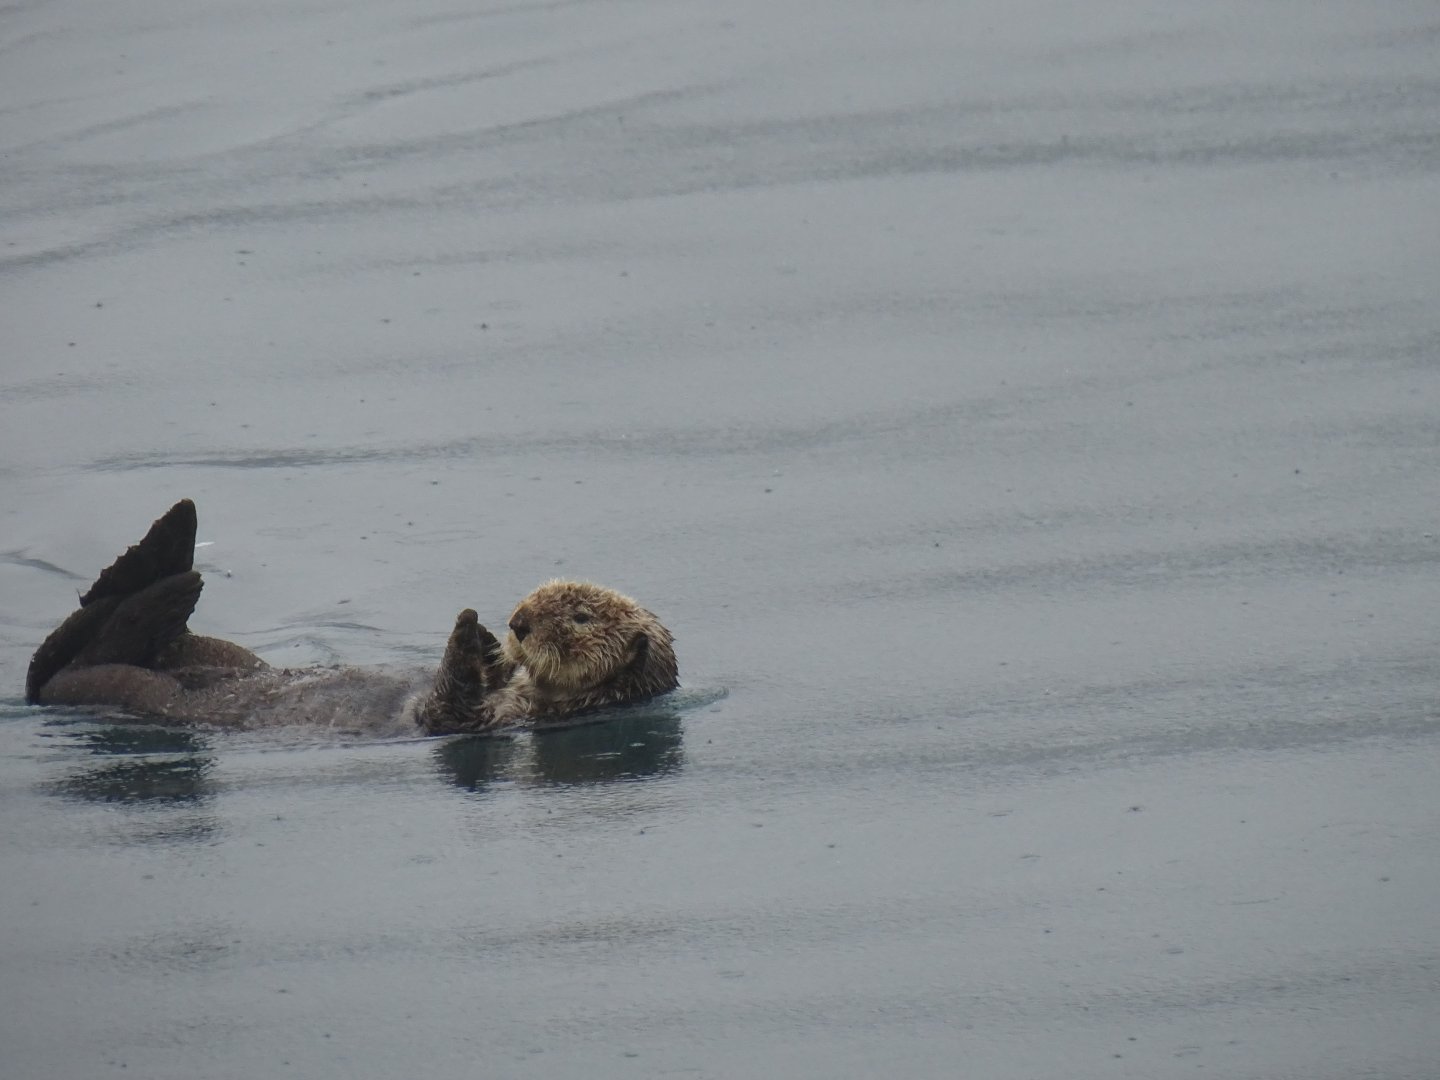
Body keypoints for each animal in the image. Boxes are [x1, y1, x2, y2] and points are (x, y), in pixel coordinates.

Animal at [25, 500, 678, 736]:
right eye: (535, 594)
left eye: (581, 616)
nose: (517, 622)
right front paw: (487, 643)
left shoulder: (476, 722)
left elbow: (447, 705)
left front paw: (470, 635)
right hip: (216, 655)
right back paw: (170, 543)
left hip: (116, 685)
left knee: (76, 656)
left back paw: (172, 574)